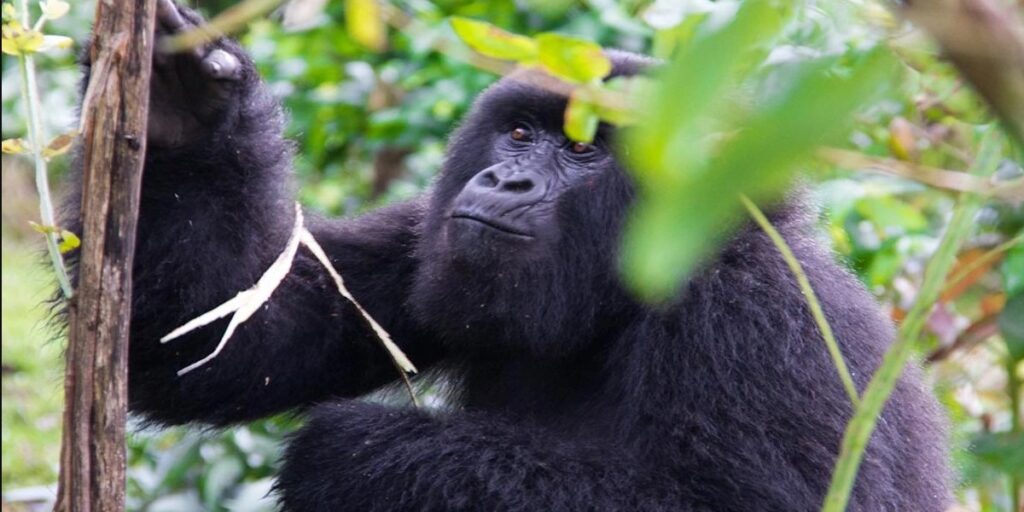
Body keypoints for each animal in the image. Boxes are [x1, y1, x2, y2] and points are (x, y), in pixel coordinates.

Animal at [59, 2, 946, 509]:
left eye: (584, 151)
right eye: (520, 133)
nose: (506, 179)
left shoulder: (762, 322)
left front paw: (368, 456)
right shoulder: (431, 229)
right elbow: (221, 335)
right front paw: (184, 106)